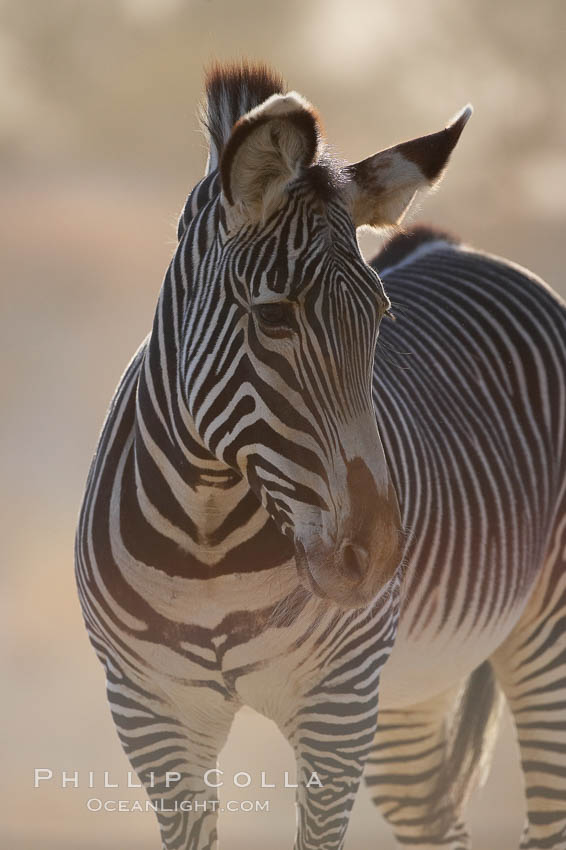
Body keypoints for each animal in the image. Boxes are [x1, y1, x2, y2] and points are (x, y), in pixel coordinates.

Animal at [75, 61, 566, 848]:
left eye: (381, 316)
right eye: (273, 317)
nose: (381, 555)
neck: (206, 541)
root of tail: (460, 248)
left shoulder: (338, 707)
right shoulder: (151, 713)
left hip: (539, 637)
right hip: (411, 693)